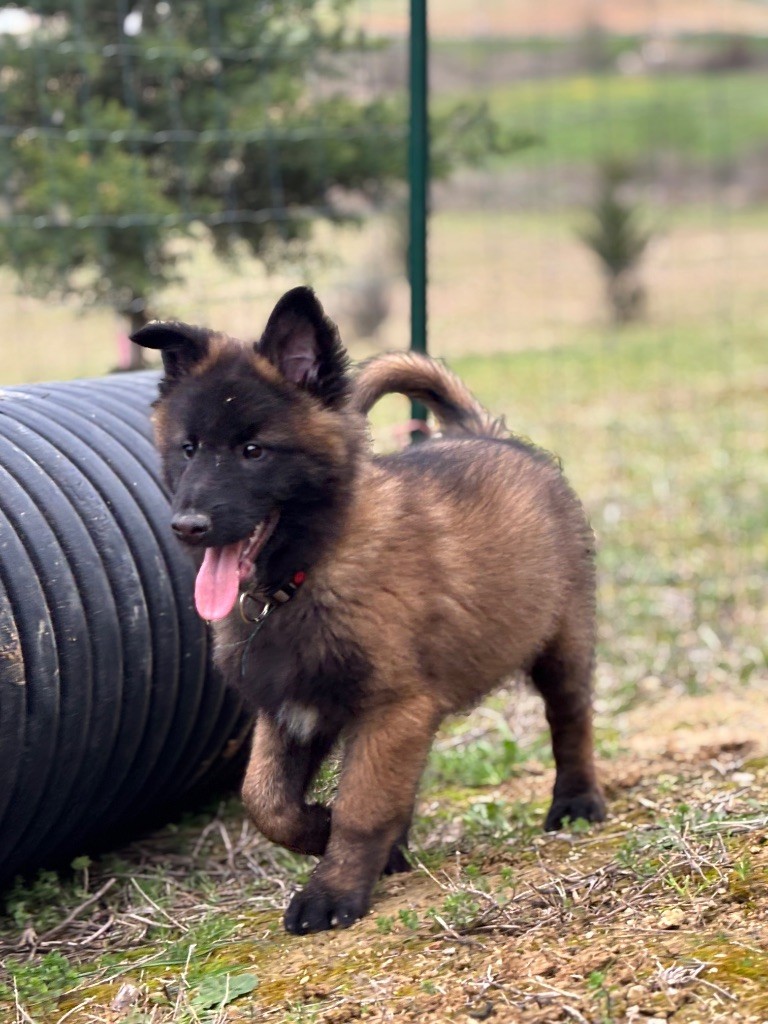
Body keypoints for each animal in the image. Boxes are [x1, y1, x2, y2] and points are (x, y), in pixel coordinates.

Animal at [134, 286, 606, 937]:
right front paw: (321, 829)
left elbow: (361, 805)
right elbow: (265, 801)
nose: (187, 526)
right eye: (188, 449)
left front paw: (331, 889)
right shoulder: (290, 710)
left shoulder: (391, 707)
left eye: (253, 451)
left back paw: (577, 801)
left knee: (570, 719)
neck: (304, 576)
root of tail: (487, 433)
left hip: (562, 641)